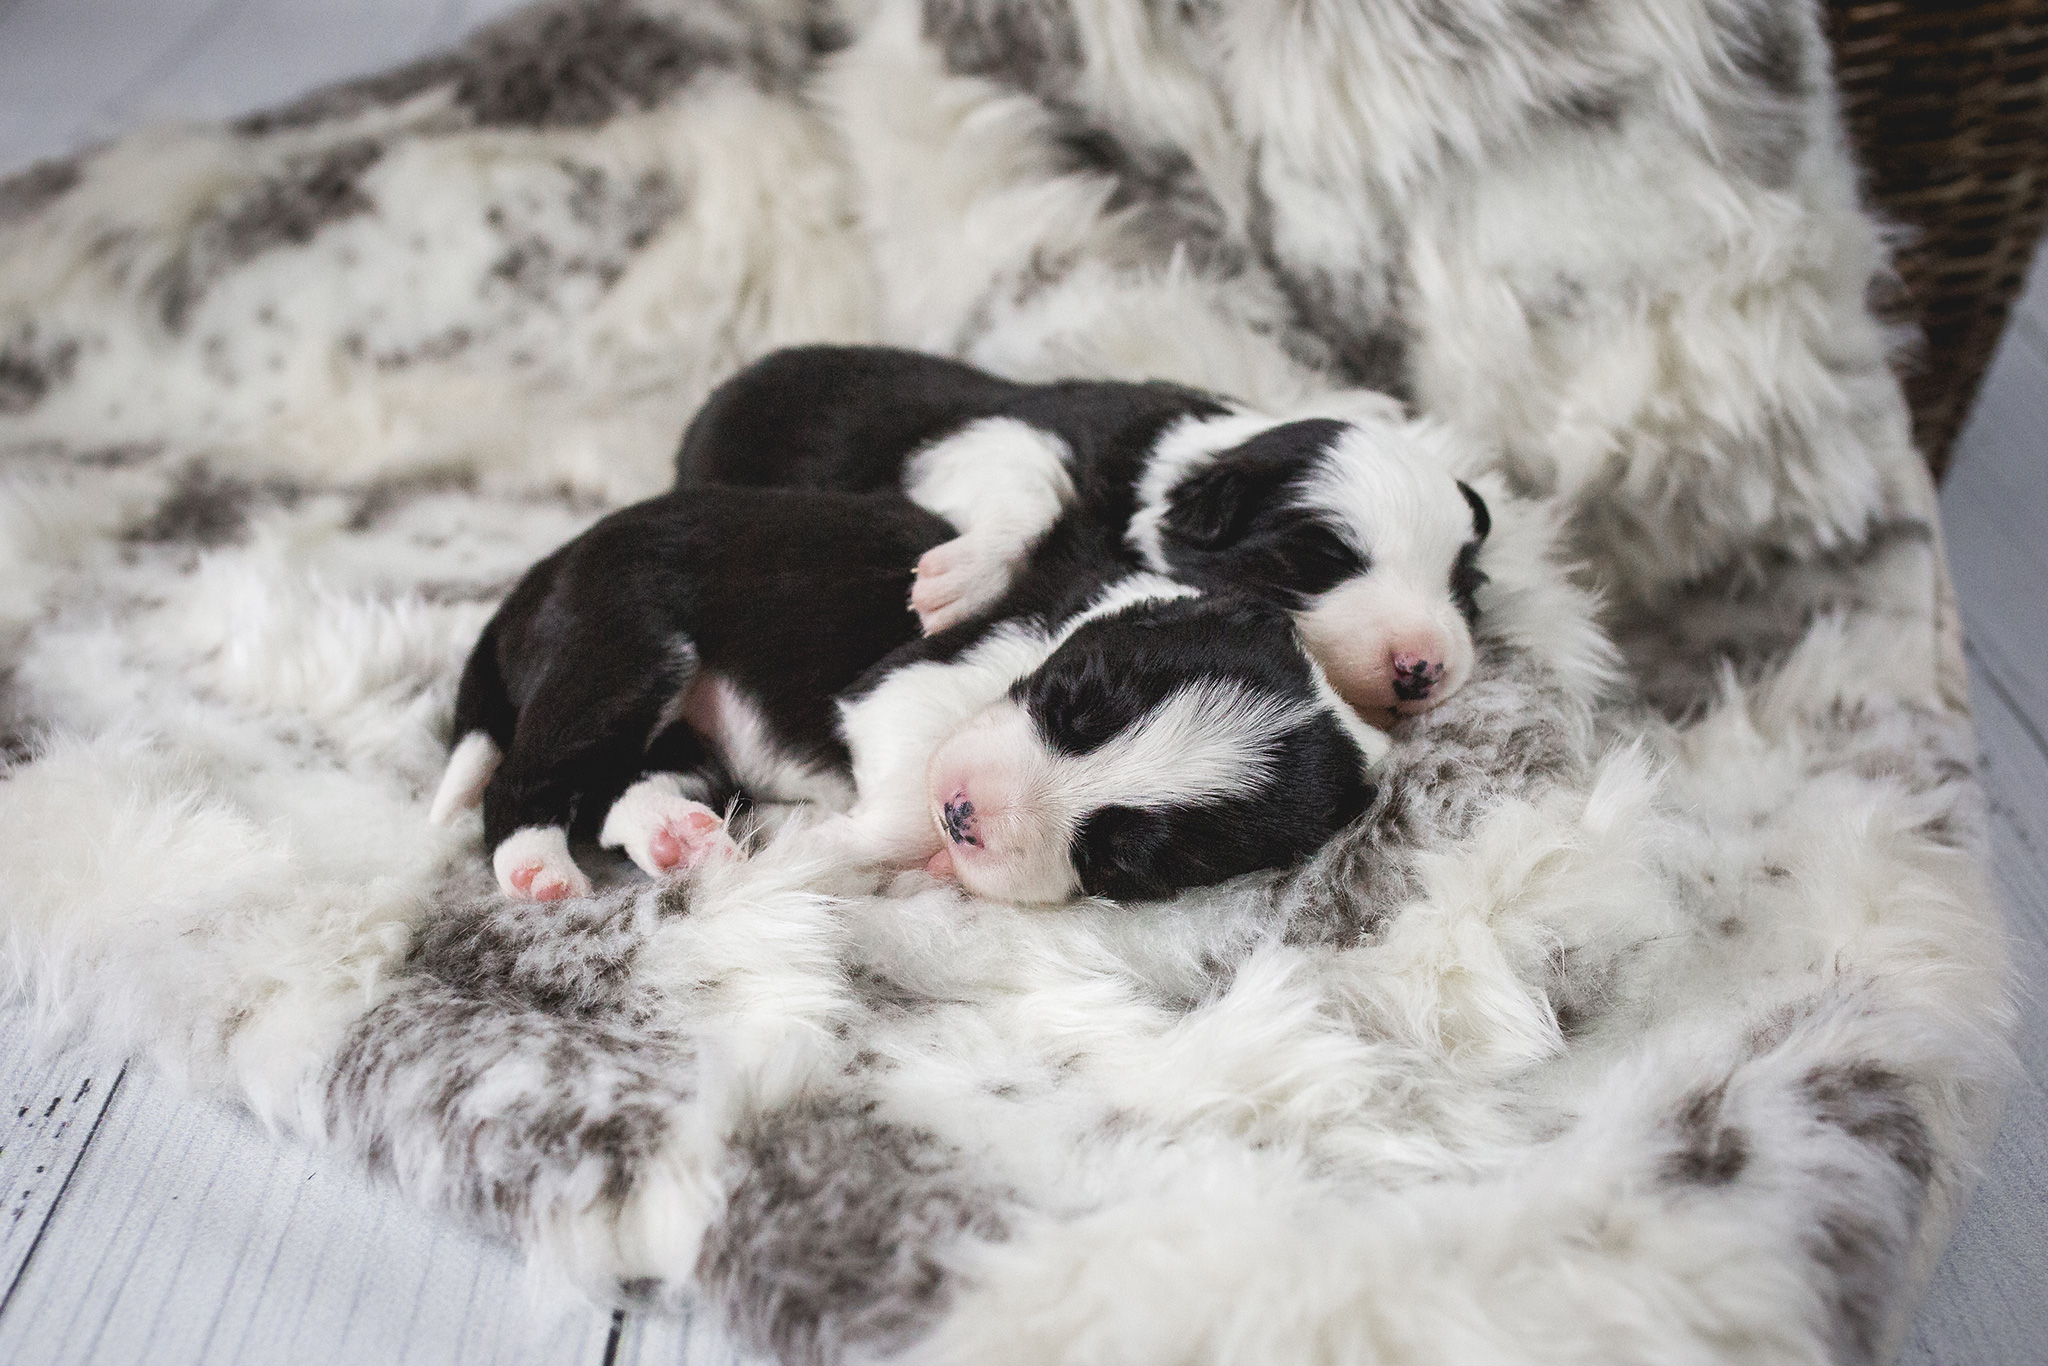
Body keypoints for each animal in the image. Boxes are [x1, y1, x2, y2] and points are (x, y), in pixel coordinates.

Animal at [438, 485, 1384, 901]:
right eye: (1073, 701)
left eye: (1121, 859)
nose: (963, 813)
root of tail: (542, 574)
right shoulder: (899, 689)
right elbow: (897, 800)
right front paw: (838, 842)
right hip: (630, 651)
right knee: (521, 780)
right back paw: (538, 869)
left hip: (676, 731)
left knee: (618, 788)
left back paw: (678, 837)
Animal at [679, 344, 1499, 724]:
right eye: (1317, 559)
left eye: (1466, 589)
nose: (1424, 666)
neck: (1172, 465)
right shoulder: (993, 432)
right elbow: (1031, 480)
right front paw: (960, 580)